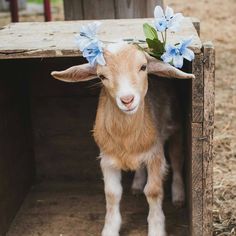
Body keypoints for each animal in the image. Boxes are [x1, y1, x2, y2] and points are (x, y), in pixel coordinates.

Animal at [52, 43, 195, 236]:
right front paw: (110, 229)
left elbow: (153, 191)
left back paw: (179, 195)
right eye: (102, 76)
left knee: (177, 157)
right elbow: (112, 193)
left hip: (176, 123)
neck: (126, 136)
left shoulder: (155, 155)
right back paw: (137, 184)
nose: (127, 100)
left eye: (143, 67)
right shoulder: (107, 158)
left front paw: (156, 228)